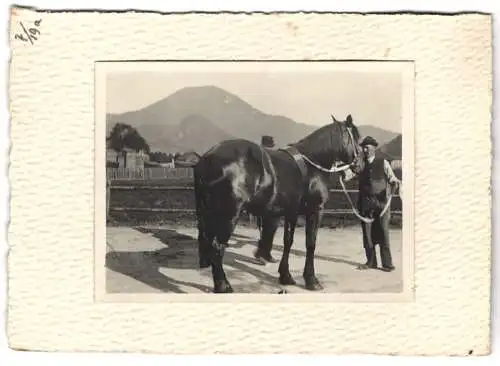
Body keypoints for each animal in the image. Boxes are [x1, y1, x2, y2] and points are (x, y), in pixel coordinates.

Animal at [193, 114, 362, 292]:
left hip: (208, 212)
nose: (359, 165)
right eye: (356, 137)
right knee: (217, 246)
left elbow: (288, 242)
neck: (312, 165)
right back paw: (223, 285)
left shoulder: (291, 213)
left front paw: (285, 276)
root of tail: (207, 158)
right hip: (229, 215)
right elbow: (311, 243)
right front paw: (311, 279)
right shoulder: (315, 210)